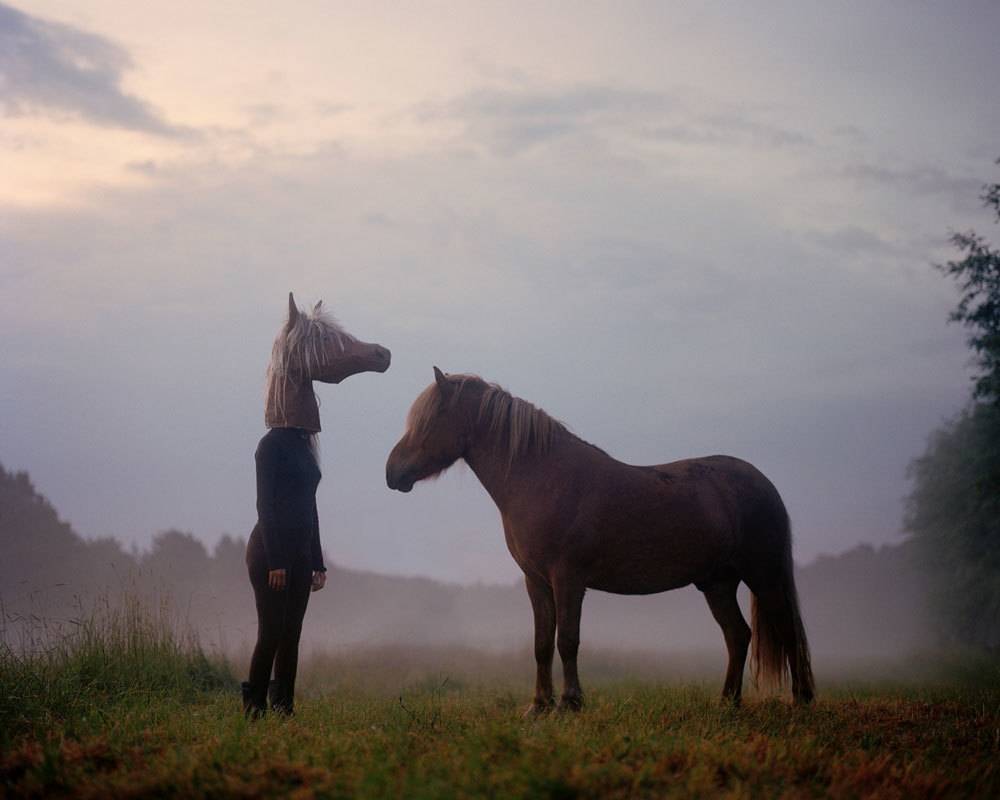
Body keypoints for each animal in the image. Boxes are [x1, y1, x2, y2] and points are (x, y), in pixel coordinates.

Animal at [386, 368, 816, 712]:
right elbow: (542, 643)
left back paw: (800, 702)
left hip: (763, 576)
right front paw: (538, 706)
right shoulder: (536, 581)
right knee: (738, 636)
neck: (543, 479)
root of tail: (763, 483)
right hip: (717, 583)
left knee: (786, 631)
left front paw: (570, 703)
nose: (392, 472)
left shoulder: (568, 579)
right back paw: (727, 703)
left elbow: (568, 640)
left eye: (431, 419)